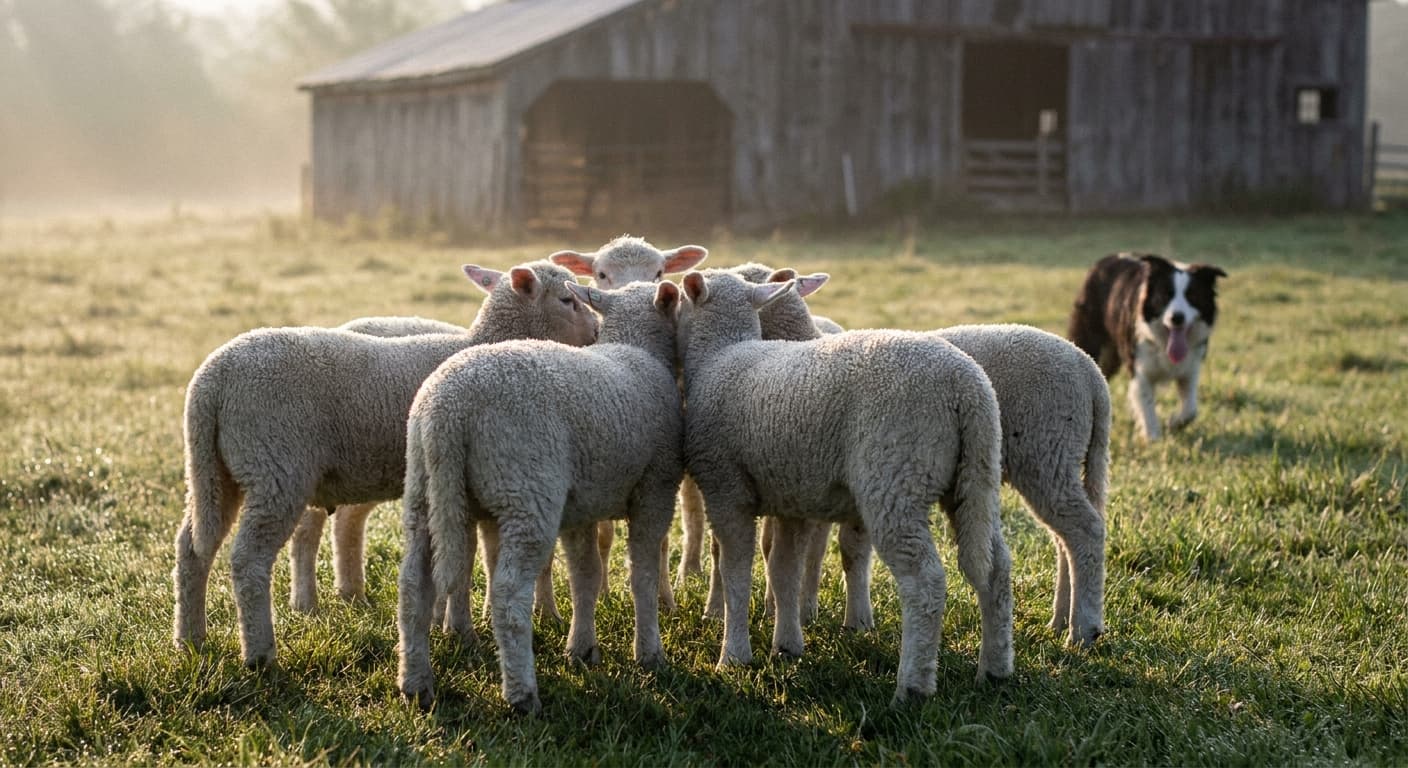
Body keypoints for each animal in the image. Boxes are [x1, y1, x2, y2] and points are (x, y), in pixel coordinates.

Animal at [172, 260, 599, 667]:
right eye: (567, 300)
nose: (597, 331)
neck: (482, 342)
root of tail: (210, 383)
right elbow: (463, 559)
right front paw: (463, 630)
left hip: (215, 473)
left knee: (193, 547)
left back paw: (191, 639)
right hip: (275, 467)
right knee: (249, 559)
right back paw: (260, 654)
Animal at [397, 280, 684, 714]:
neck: (639, 351)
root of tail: (448, 409)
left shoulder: (582, 505)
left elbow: (586, 575)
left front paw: (582, 649)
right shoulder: (655, 488)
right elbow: (643, 577)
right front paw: (650, 654)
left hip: (425, 491)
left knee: (414, 584)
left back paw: (416, 684)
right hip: (527, 489)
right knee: (508, 593)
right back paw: (522, 695)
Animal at [677, 269, 1013, 702]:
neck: (720, 354)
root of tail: (966, 387)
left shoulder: (726, 488)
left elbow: (737, 572)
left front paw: (733, 657)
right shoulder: (791, 497)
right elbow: (784, 571)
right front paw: (787, 646)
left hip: (894, 477)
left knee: (924, 580)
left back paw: (913, 687)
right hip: (975, 478)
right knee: (993, 567)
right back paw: (995, 669)